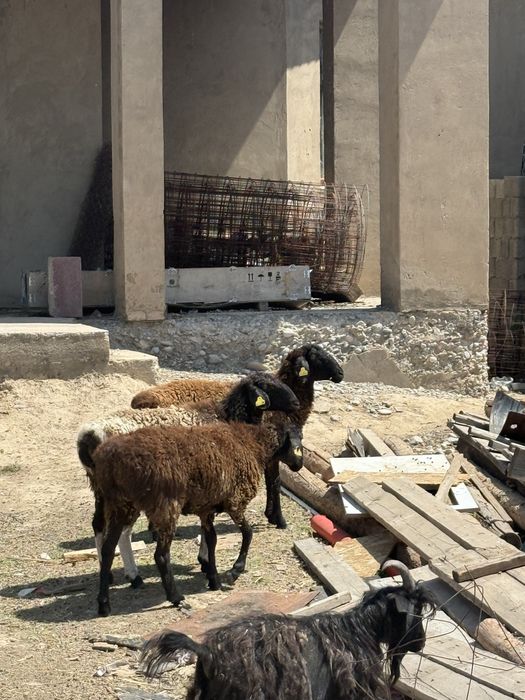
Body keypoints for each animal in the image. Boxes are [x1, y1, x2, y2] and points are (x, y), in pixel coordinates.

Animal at [78, 373, 300, 588]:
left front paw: (205, 562)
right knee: (124, 532)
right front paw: (207, 562)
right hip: (127, 494)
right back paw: (134, 576)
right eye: (267, 386)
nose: (296, 403)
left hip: (101, 489)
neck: (225, 415)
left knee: (98, 524)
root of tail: (90, 434)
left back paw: (107, 573)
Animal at [92, 418, 304, 616]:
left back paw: (104, 604)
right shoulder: (235, 501)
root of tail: (110, 461)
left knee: (107, 550)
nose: (298, 466)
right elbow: (248, 533)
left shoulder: (207, 508)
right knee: (160, 555)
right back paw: (175, 596)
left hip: (118, 504)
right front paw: (235, 570)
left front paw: (213, 578)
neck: (253, 444)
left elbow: (211, 540)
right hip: (166, 505)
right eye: (298, 444)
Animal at [131, 344, 344, 528]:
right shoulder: (272, 451)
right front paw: (278, 519)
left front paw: (271, 515)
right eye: (316, 356)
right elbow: (274, 483)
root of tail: (137, 400)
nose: (341, 373)